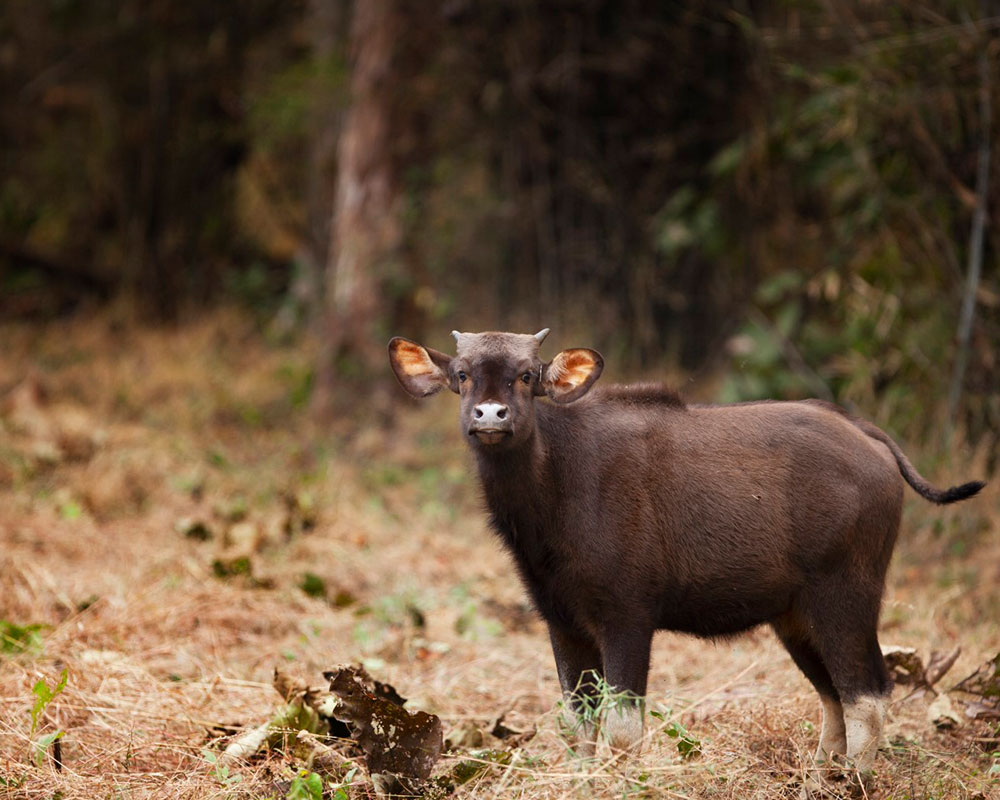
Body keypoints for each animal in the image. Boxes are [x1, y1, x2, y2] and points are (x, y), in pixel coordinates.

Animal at [386, 328, 980, 772]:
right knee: (835, 694)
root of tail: (869, 437)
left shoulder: (627, 617)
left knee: (867, 694)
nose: (490, 416)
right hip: (796, 615)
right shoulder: (563, 621)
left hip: (847, 595)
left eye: (527, 376)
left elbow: (622, 729)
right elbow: (578, 725)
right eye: (462, 376)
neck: (558, 482)